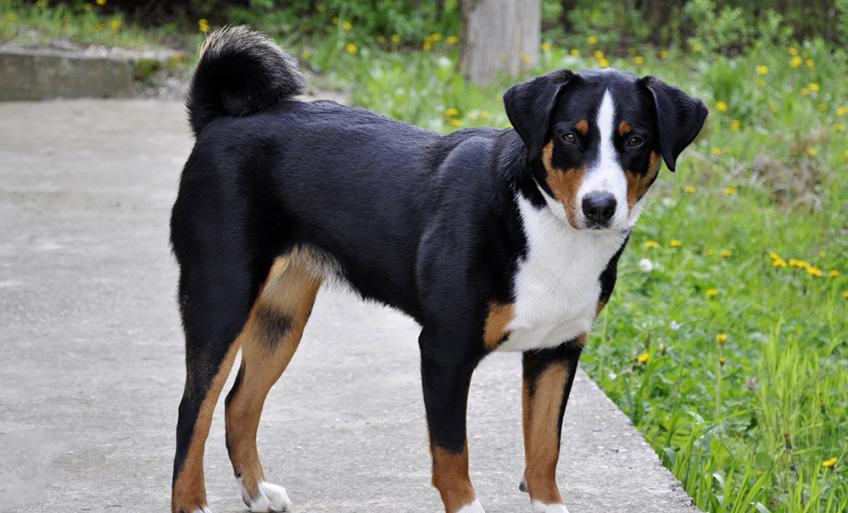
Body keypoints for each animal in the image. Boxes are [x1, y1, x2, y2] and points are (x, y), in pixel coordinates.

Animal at [171, 27, 708, 512]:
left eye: (635, 140)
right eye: (568, 136)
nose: (600, 206)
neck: (541, 223)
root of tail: (219, 120)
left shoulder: (556, 352)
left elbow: (544, 452)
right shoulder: (445, 351)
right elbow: (453, 456)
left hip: (281, 318)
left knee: (239, 403)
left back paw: (258, 493)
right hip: (223, 298)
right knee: (192, 411)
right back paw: (192, 503)